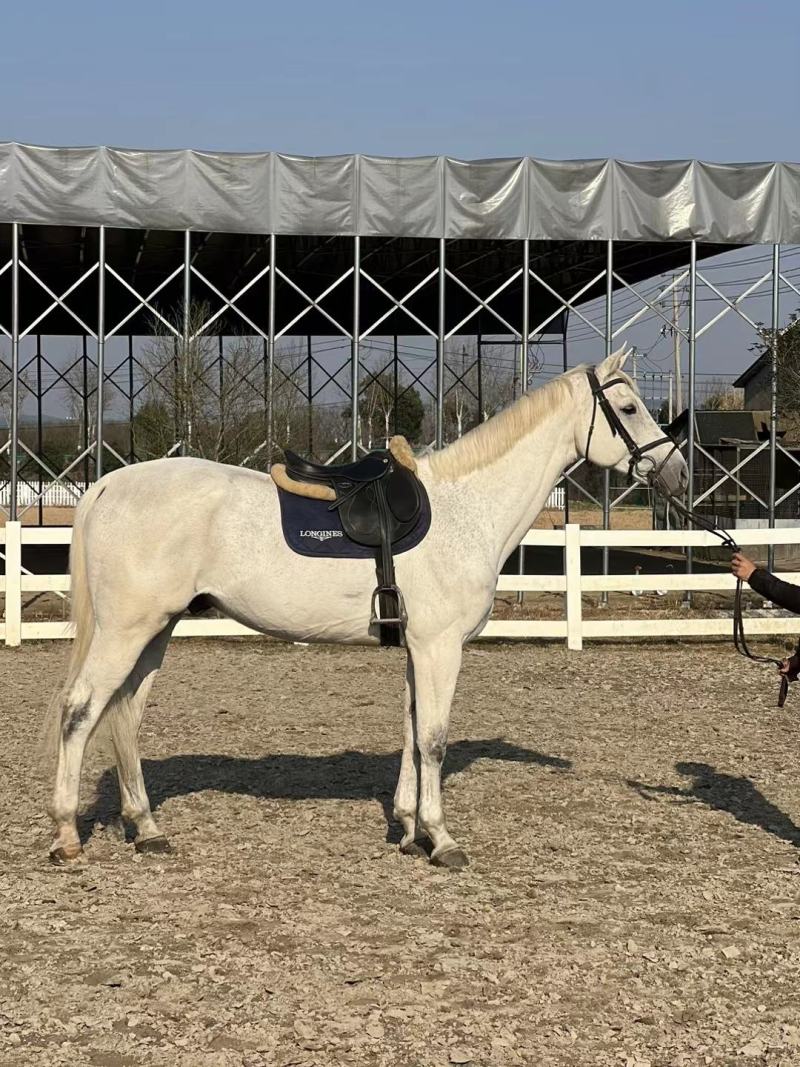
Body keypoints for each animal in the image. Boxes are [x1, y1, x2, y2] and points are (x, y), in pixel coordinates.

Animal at [45, 347, 688, 869]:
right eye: (628, 407)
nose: (677, 472)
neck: (467, 508)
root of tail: (110, 485)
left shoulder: (416, 646)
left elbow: (411, 729)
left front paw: (407, 829)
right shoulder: (439, 647)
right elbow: (434, 738)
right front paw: (442, 840)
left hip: (154, 631)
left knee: (125, 715)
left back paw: (147, 829)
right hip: (126, 631)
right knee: (80, 710)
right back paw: (67, 837)